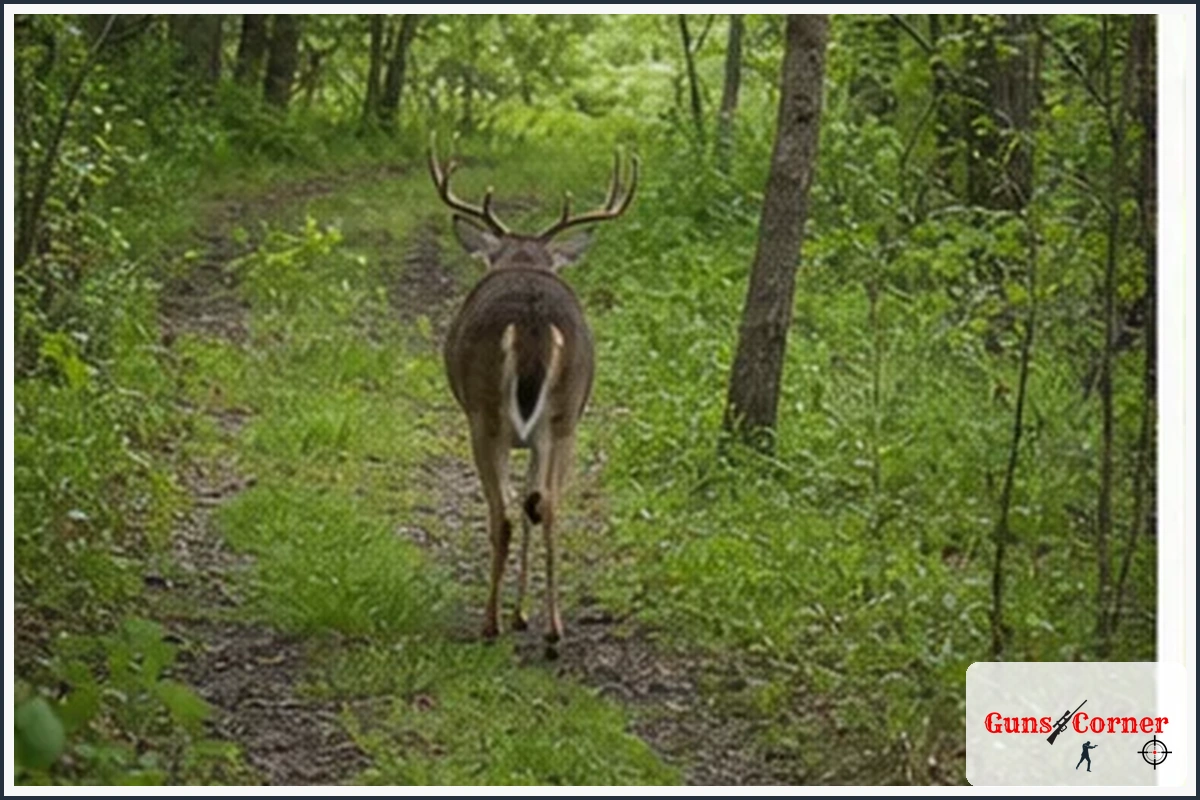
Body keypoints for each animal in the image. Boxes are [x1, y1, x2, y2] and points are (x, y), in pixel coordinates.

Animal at [429, 136, 638, 658]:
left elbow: (514, 507)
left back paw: (489, 624)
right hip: (566, 416)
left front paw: (514, 614)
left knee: (504, 511)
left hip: (485, 415)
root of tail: (532, 316)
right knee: (549, 505)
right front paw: (524, 613)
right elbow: (533, 502)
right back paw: (554, 629)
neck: (522, 261)